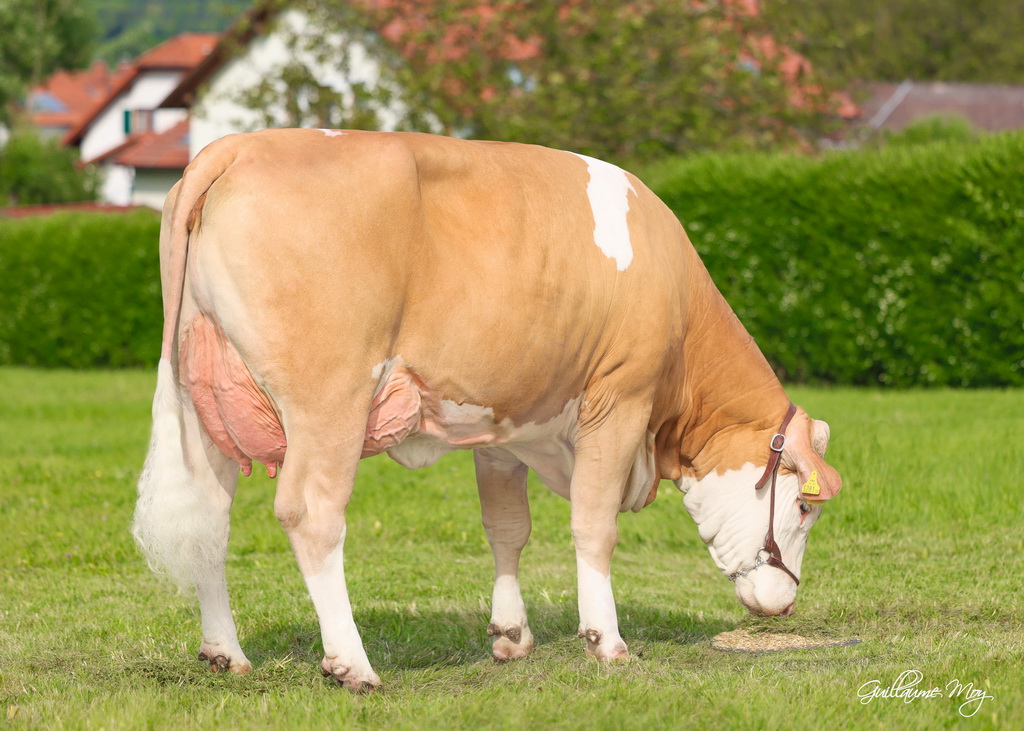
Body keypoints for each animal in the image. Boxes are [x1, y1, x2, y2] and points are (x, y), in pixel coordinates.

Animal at [134, 127, 839, 692]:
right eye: (805, 507)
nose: (784, 605)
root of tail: (242, 143)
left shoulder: (506, 426)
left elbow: (507, 528)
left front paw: (510, 634)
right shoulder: (619, 401)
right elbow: (594, 524)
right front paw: (606, 641)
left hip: (205, 400)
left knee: (208, 520)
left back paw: (225, 653)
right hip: (329, 399)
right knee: (312, 514)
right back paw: (353, 666)